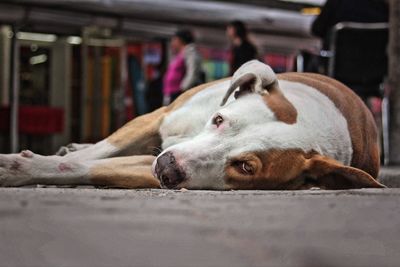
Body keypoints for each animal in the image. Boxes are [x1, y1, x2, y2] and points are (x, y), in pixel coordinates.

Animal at [0, 60, 386, 191]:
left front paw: (19, 168)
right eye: (219, 119)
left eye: (246, 167)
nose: (168, 168)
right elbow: (95, 153)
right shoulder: (156, 118)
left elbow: (88, 168)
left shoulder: (153, 165)